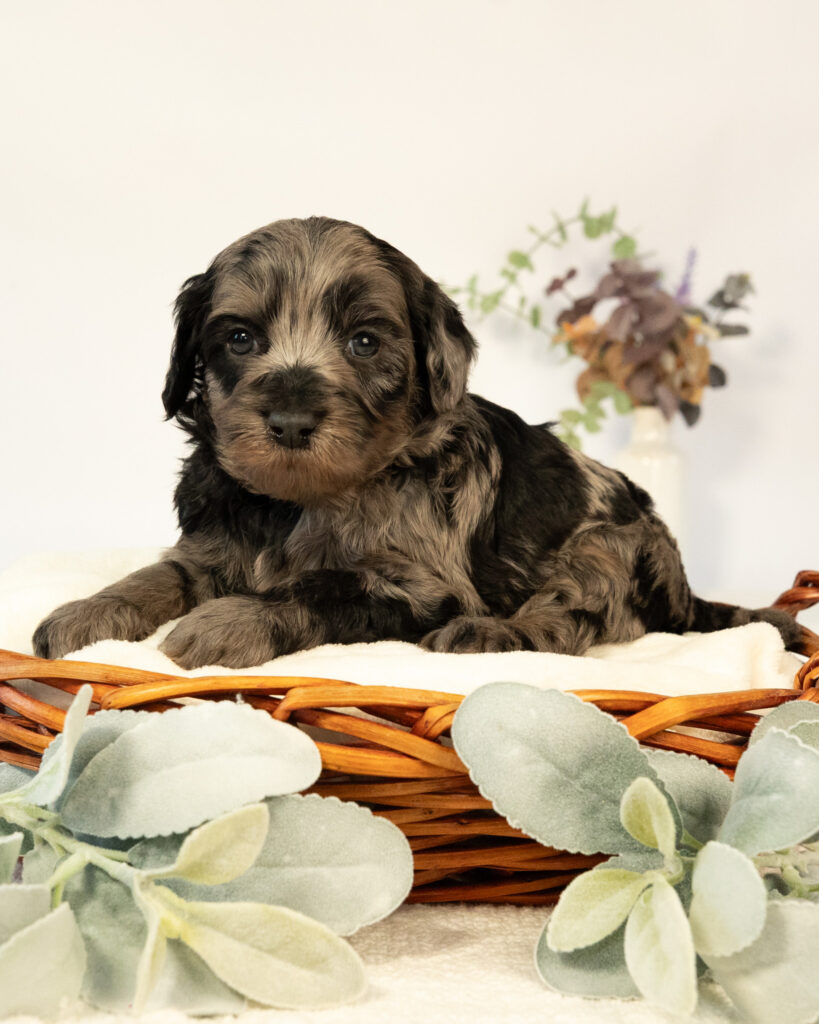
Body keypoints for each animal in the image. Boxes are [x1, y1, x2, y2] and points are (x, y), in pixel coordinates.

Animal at [33, 216, 801, 669]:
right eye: (240, 338)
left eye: (364, 343)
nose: (290, 422)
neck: (301, 505)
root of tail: (684, 590)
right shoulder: (211, 546)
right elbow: (158, 575)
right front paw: (84, 614)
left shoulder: (420, 585)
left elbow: (318, 592)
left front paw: (229, 622)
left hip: (606, 548)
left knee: (568, 620)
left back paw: (492, 635)